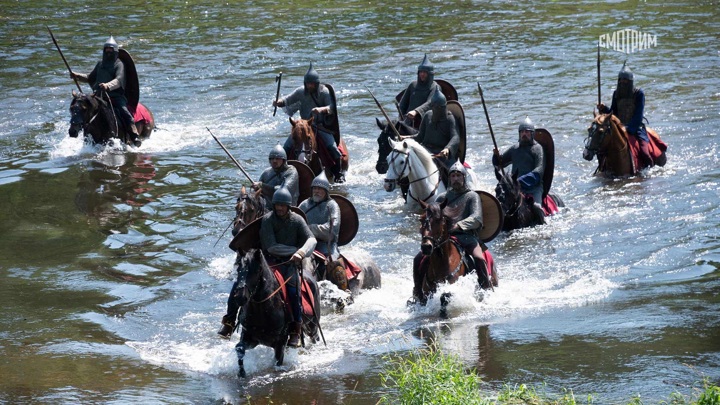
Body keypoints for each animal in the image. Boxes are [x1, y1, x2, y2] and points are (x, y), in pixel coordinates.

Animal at [233, 248, 320, 378]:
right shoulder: (251, 338)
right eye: (238, 269)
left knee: (315, 337)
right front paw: (241, 373)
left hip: (312, 325)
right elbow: (239, 348)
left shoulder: (280, 343)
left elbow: (277, 363)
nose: (239, 298)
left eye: (256, 271)